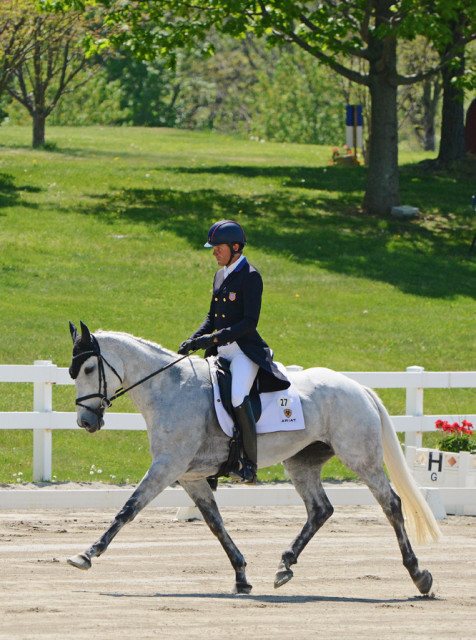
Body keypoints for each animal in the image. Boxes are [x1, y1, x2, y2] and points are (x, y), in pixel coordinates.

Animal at [66, 322, 438, 596]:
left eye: (89, 367)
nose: (85, 421)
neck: (171, 389)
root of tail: (359, 388)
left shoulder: (168, 466)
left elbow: (128, 508)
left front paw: (86, 554)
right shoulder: (190, 476)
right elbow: (215, 524)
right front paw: (241, 575)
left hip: (360, 457)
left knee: (391, 503)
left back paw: (419, 575)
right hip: (301, 462)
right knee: (320, 509)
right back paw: (285, 565)